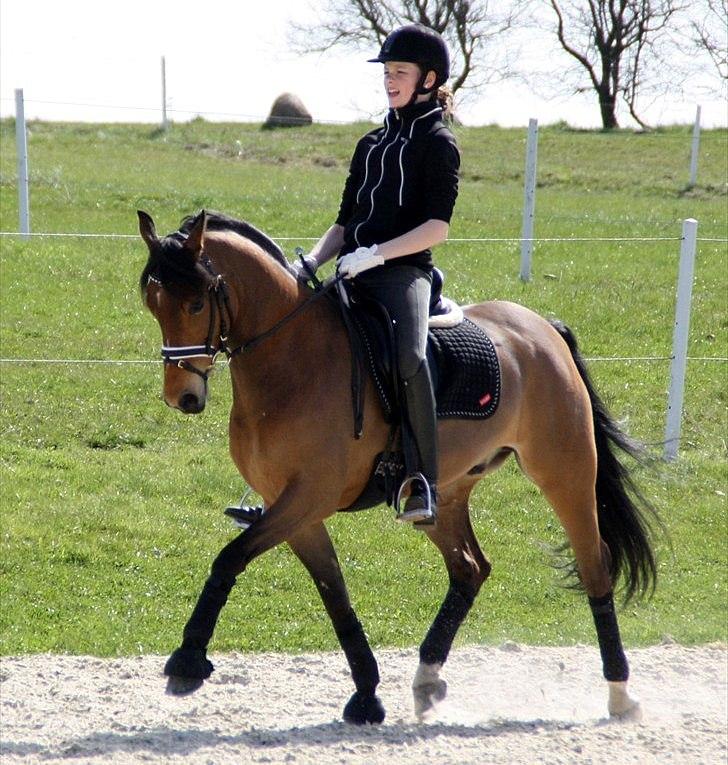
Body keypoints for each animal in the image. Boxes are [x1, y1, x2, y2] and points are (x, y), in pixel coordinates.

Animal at [137, 209, 658, 725]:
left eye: (196, 304)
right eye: (152, 304)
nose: (182, 397)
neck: (291, 360)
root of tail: (541, 328)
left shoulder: (308, 497)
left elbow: (230, 557)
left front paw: (186, 662)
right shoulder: (293, 509)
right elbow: (334, 592)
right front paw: (367, 695)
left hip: (564, 472)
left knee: (594, 565)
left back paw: (620, 695)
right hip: (446, 491)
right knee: (469, 568)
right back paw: (426, 679)